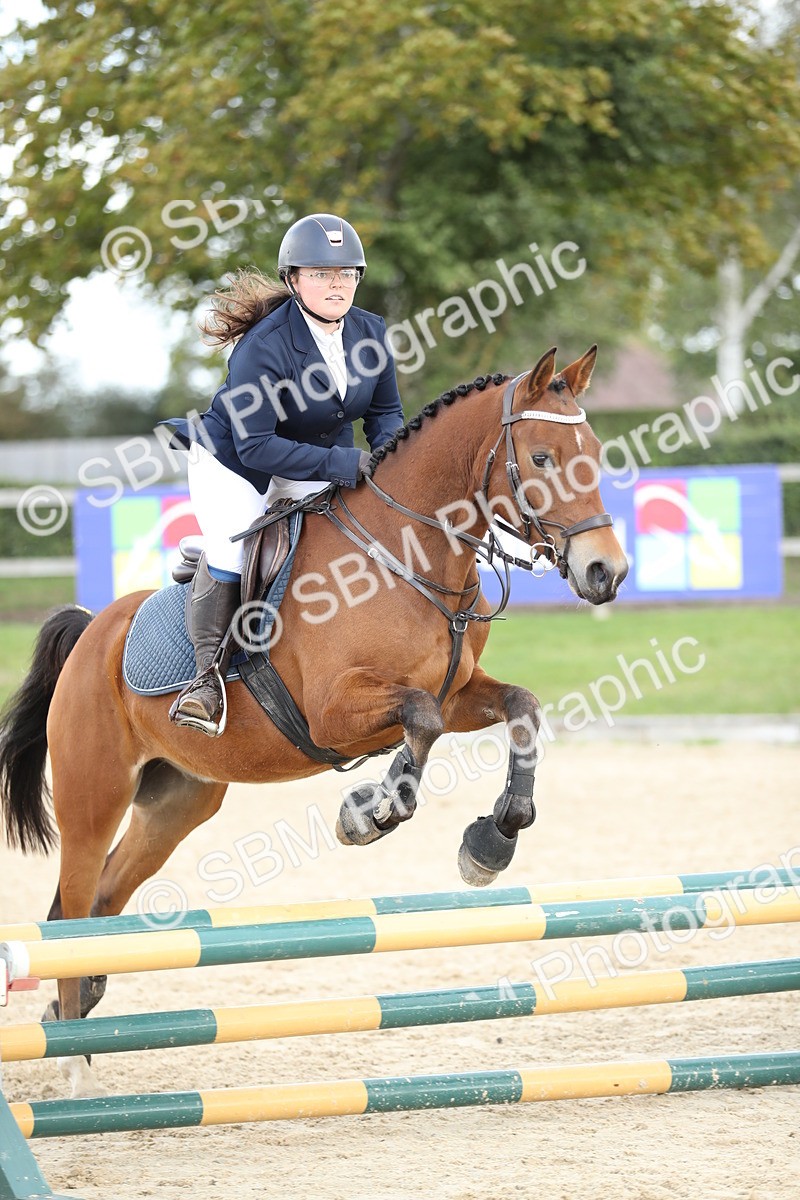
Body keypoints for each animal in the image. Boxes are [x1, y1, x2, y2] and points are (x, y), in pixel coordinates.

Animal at [0, 346, 628, 1097]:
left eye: (594, 454)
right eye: (539, 457)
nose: (608, 572)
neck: (408, 555)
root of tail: (92, 631)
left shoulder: (457, 694)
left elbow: (519, 708)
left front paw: (493, 837)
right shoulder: (337, 712)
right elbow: (419, 723)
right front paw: (371, 813)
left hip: (176, 802)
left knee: (101, 899)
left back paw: (82, 1014)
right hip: (93, 797)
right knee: (71, 907)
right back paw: (73, 1066)